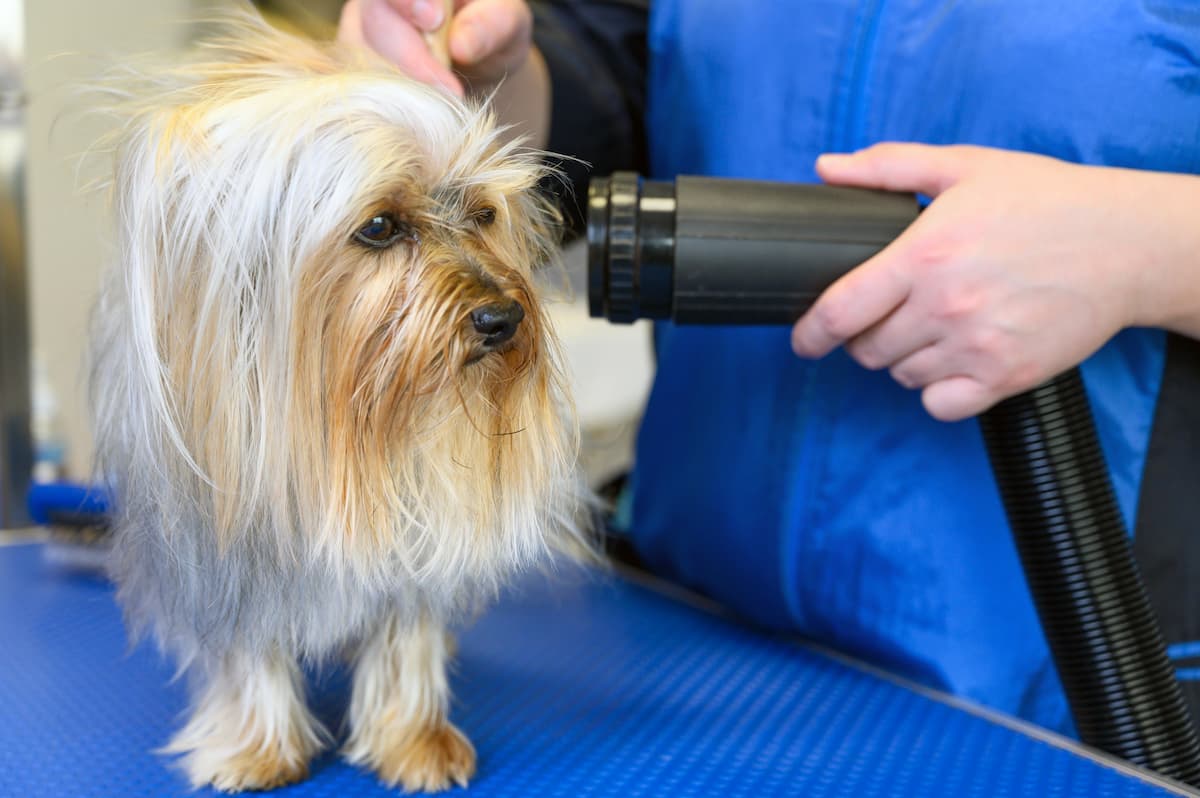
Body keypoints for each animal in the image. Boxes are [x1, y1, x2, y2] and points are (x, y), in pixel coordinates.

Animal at [87, 10, 590, 792]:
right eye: (379, 227)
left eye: (483, 214)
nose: (501, 317)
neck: (344, 417)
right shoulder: (234, 557)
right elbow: (250, 650)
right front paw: (257, 749)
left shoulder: (412, 534)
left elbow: (407, 636)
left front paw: (414, 740)